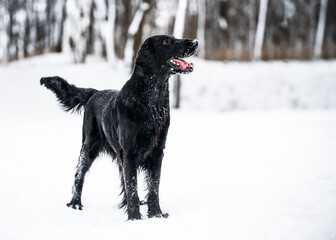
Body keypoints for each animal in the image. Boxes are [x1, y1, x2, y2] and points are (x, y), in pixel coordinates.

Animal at [40, 34, 197, 220]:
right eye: (166, 41)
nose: (195, 42)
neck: (151, 101)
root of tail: (95, 93)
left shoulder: (157, 151)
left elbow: (153, 186)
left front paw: (156, 214)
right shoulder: (130, 152)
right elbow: (133, 187)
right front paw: (135, 218)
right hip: (89, 147)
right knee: (79, 175)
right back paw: (75, 203)